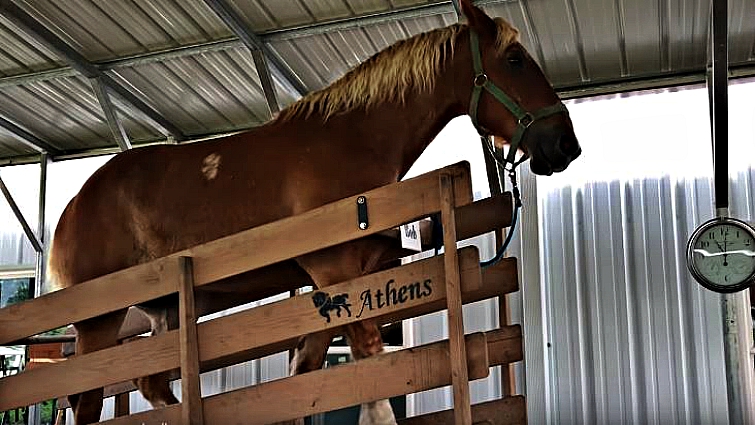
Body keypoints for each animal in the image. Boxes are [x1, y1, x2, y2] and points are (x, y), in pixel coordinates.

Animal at [47, 1, 580, 423]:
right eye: (514, 60)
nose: (565, 144)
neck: (351, 140)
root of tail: (76, 203)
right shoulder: (335, 270)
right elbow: (369, 367)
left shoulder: (344, 281)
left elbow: (308, 375)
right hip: (99, 325)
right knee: (87, 403)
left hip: (167, 315)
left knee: (153, 387)